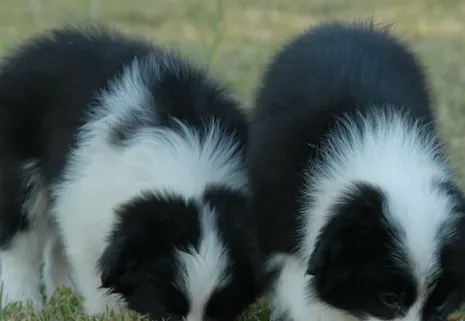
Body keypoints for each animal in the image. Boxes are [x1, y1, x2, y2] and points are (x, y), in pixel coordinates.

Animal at [0, 25, 260, 320]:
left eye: (220, 312)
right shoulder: (82, 207)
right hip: (20, 172)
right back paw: (22, 301)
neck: (190, 170)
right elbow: (92, 266)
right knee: (21, 242)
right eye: (165, 310)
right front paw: (105, 311)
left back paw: (63, 292)